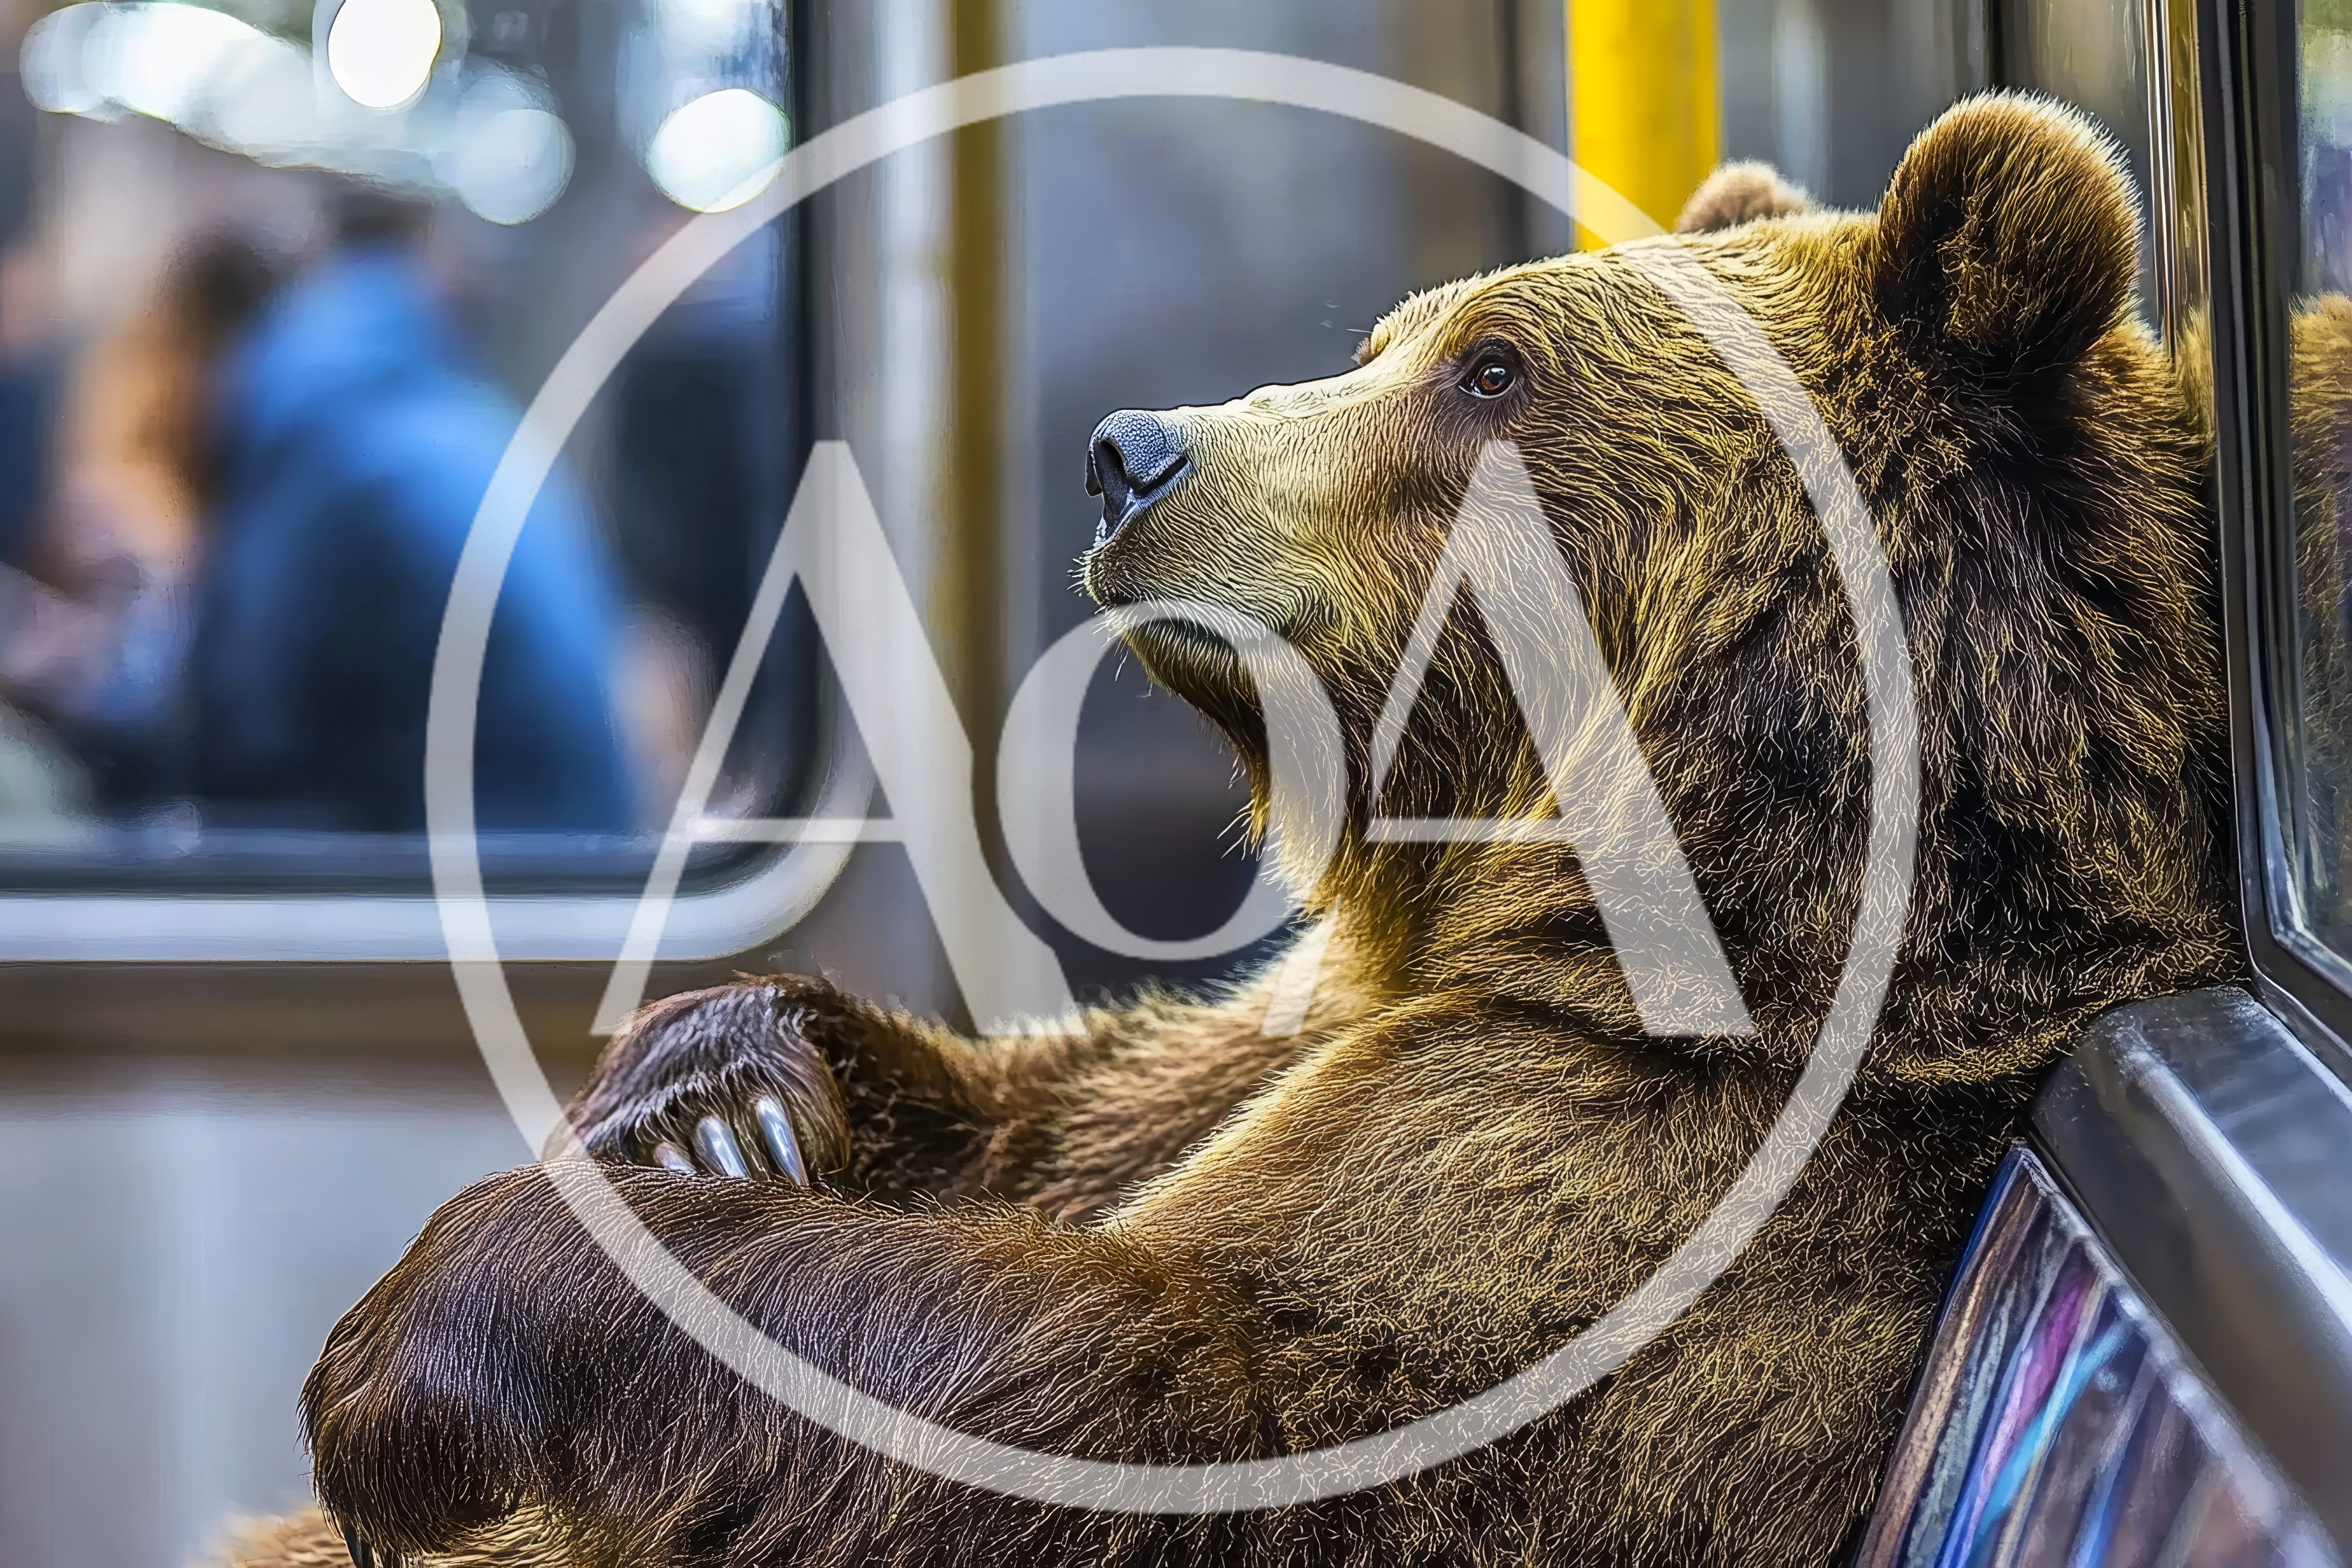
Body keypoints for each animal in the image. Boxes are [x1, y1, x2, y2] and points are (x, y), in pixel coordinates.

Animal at [237, 92, 2241, 1568]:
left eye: (1493, 367)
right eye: (1389, 339)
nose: (1132, 452)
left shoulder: (1647, 1188)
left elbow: (1175, 1397)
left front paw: (422, 1334)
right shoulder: (1306, 1032)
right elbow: (1068, 1103)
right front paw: (722, 1096)